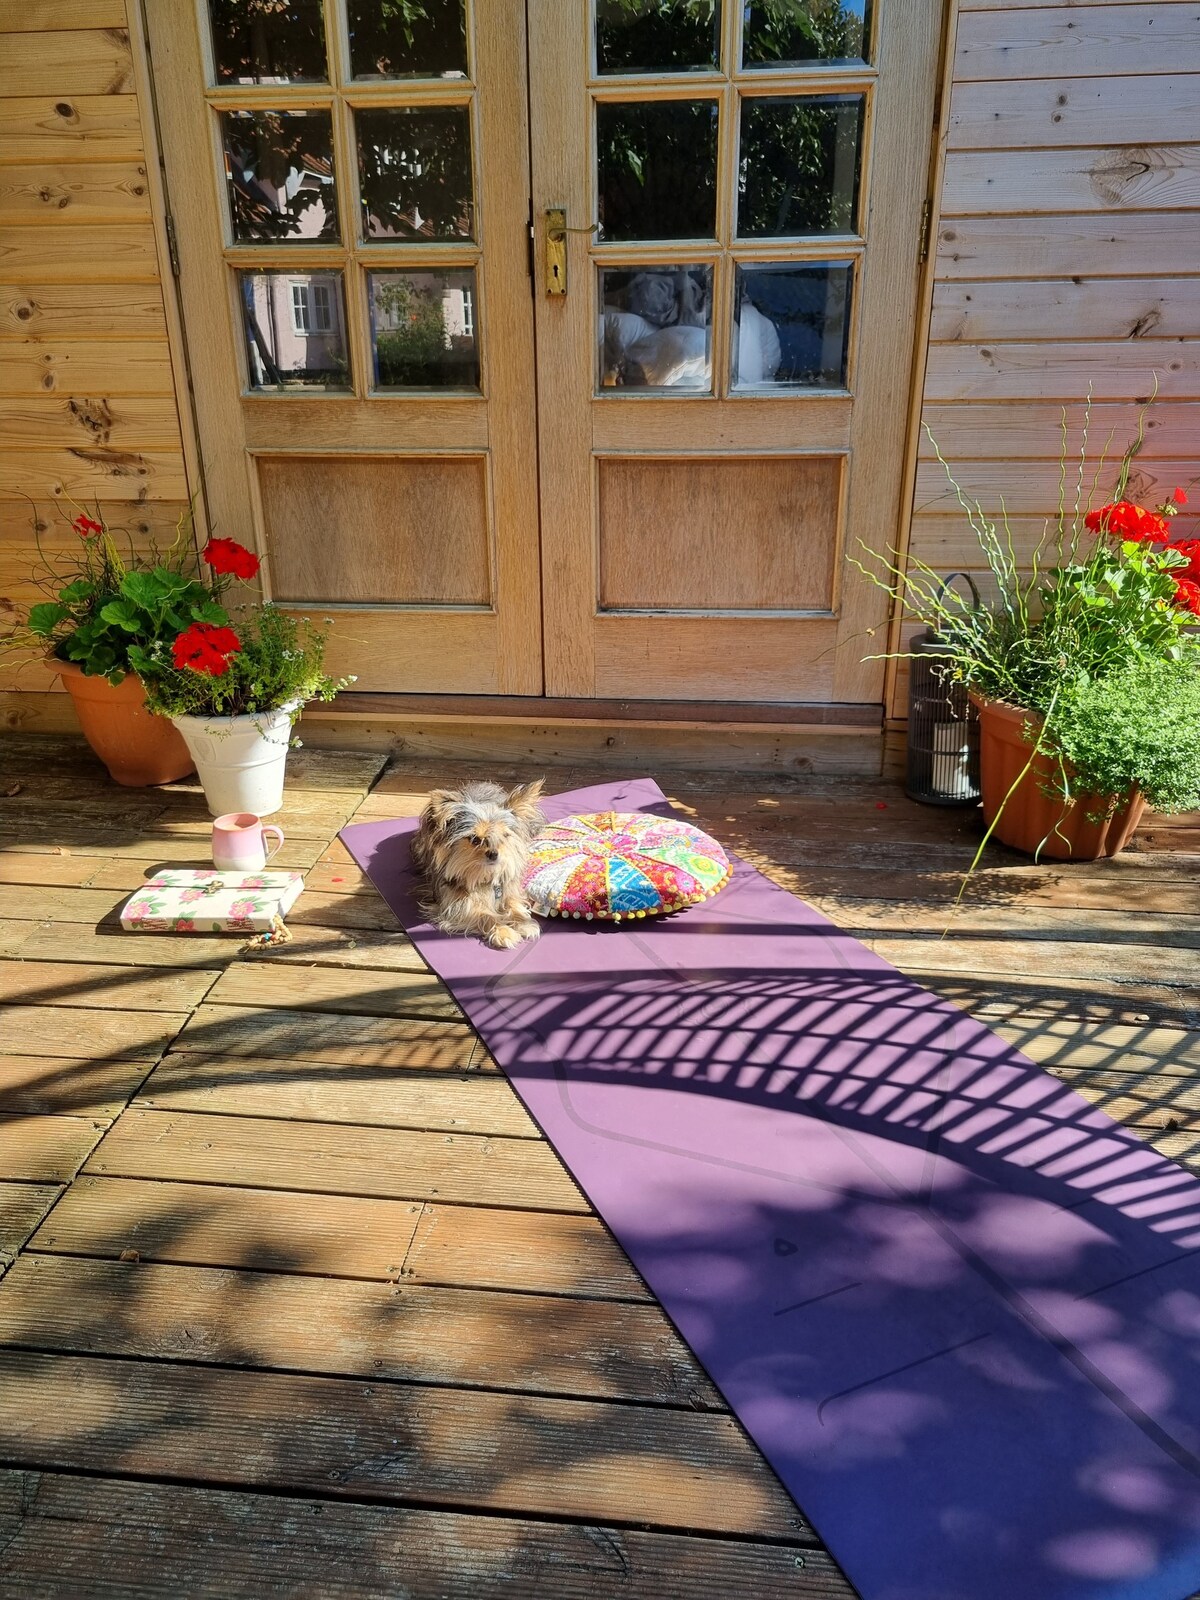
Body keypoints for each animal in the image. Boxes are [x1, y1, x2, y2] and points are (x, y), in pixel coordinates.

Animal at [412, 777, 547, 940]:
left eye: (505, 835)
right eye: (475, 839)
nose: (493, 853)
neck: (484, 875)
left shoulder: (509, 887)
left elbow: (513, 902)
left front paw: (523, 922)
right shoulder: (454, 903)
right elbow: (484, 914)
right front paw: (504, 932)